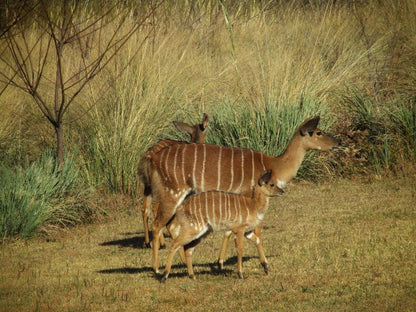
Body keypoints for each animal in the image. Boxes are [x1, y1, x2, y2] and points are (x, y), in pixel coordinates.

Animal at [139, 113, 210, 247]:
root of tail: (148, 155)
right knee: (155, 207)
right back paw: (162, 243)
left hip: (148, 186)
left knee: (145, 208)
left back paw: (147, 242)